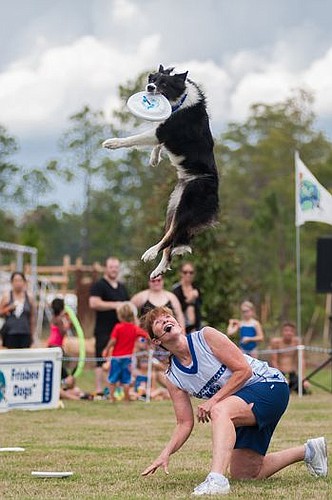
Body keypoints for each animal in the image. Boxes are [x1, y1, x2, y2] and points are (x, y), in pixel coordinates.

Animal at [102, 63, 219, 278]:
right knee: (170, 240)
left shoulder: (163, 131)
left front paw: (113, 143)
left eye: (163, 84)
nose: (149, 88)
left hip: (186, 207)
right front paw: (154, 158)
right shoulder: (162, 131)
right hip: (172, 208)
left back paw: (149, 253)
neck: (179, 100)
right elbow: (157, 144)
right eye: (153, 79)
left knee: (171, 236)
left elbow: (136, 138)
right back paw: (159, 269)